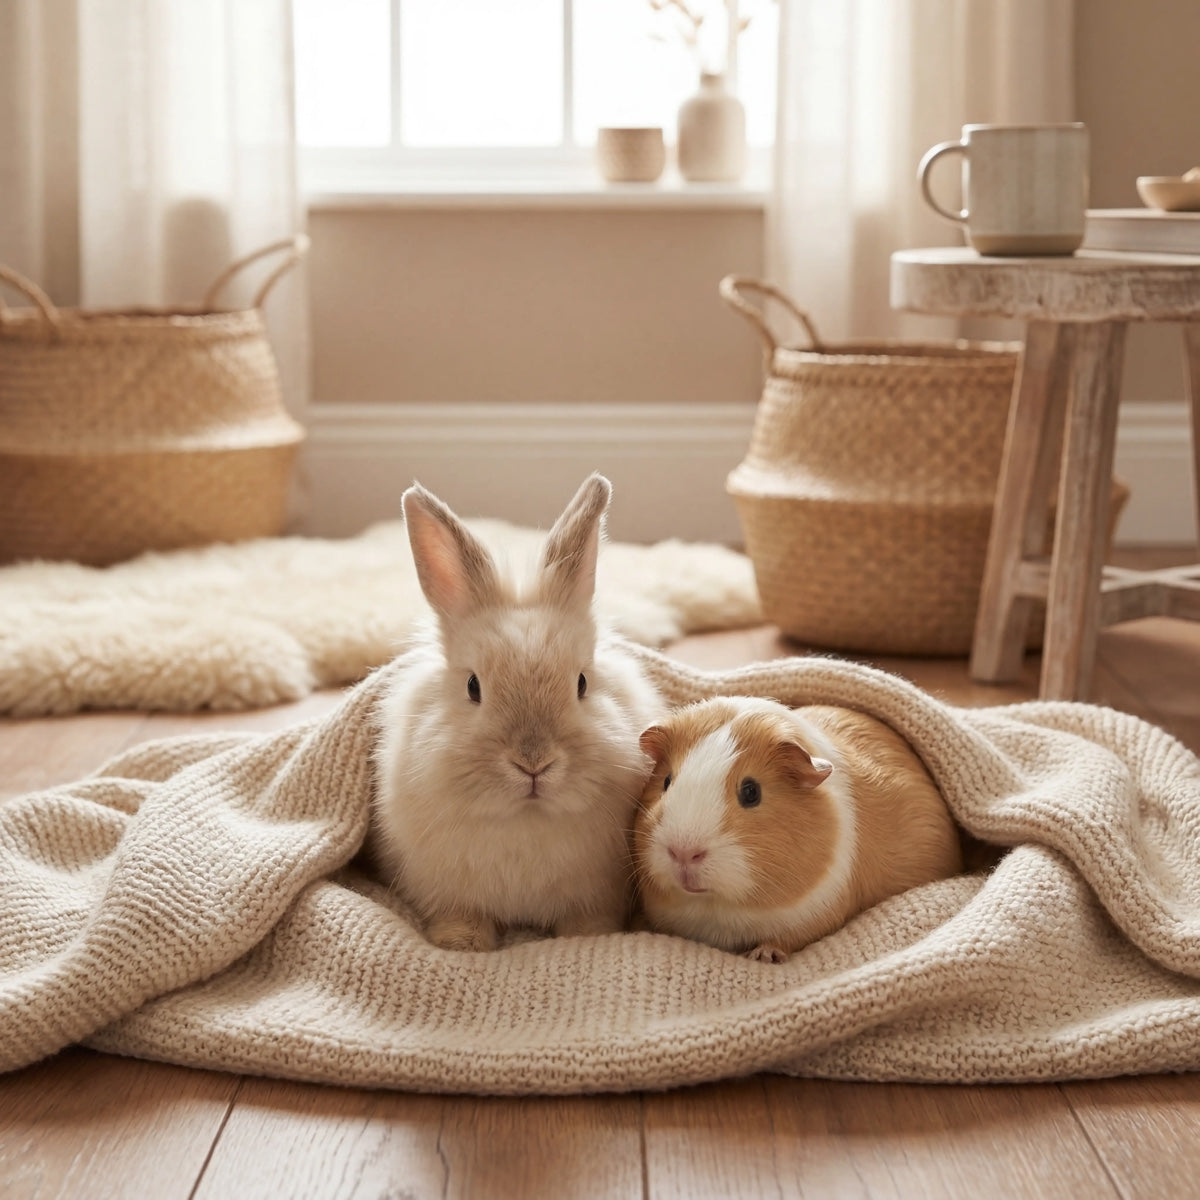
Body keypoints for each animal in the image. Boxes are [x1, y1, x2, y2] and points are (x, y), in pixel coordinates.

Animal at [371, 473, 663, 952]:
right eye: (473, 687)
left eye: (582, 684)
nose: (533, 763)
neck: (527, 821)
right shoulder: (449, 893)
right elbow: (462, 916)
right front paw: (462, 944)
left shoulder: (595, 894)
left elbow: (586, 921)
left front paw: (590, 939)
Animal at [632, 696, 962, 963]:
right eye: (666, 781)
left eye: (751, 792)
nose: (683, 853)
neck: (717, 908)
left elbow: (788, 938)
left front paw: (764, 955)